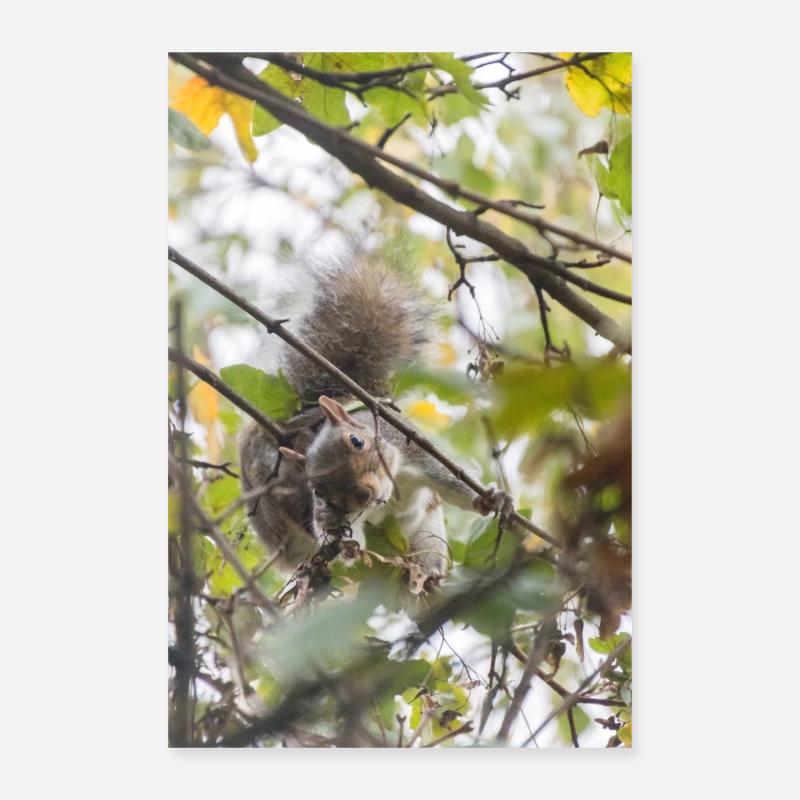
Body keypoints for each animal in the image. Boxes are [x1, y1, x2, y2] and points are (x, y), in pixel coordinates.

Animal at [238, 253, 513, 593]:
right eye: (317, 488)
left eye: (358, 441)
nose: (363, 496)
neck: (395, 484)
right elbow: (338, 532)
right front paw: (336, 534)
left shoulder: (413, 451)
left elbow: (452, 484)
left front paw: (493, 499)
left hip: (428, 534)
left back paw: (428, 577)